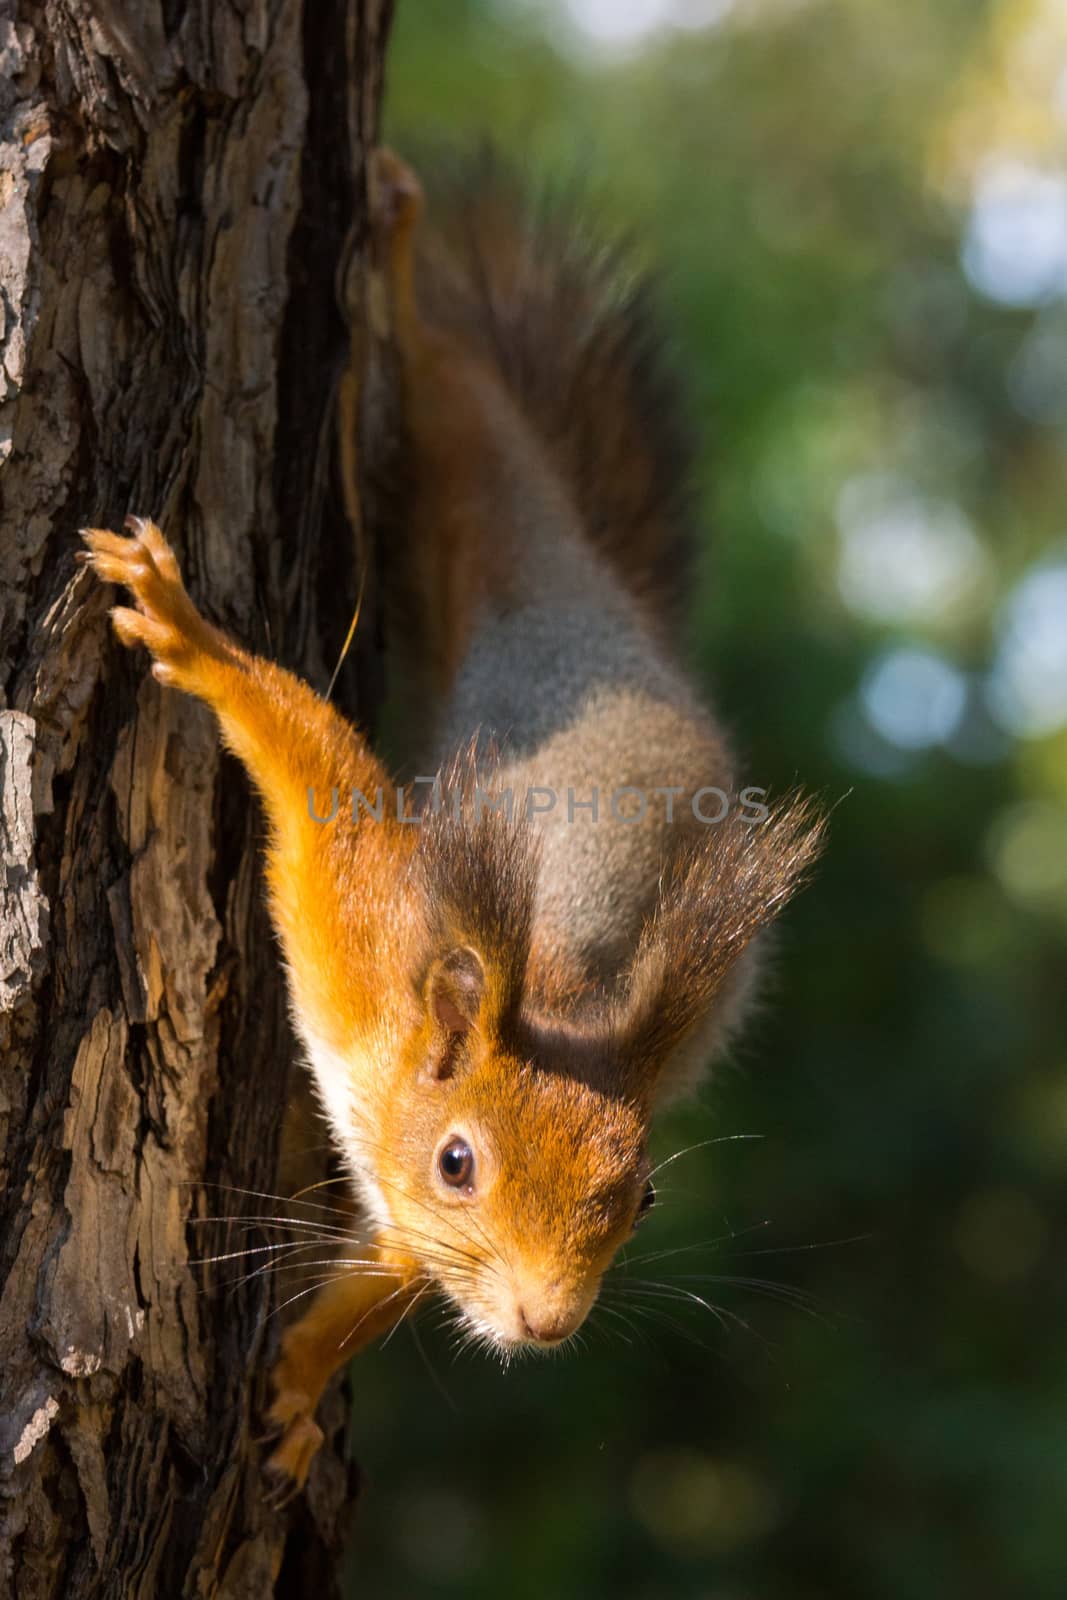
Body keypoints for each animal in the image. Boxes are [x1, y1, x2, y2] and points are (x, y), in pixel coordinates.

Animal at [79, 147, 825, 1484]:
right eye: (459, 1160)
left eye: (641, 1198)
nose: (543, 1322)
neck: (561, 999)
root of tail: (603, 602)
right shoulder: (365, 926)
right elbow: (314, 764)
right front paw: (196, 638)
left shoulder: (400, 1203)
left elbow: (387, 1273)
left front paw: (298, 1386)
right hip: (473, 490)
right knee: (443, 388)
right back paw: (399, 253)